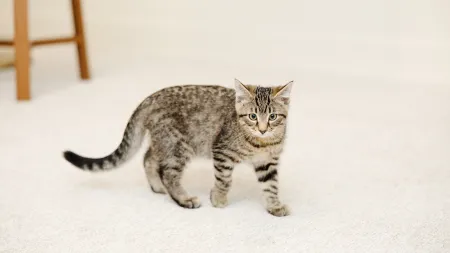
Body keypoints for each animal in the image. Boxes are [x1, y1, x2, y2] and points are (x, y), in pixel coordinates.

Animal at [64, 78, 296, 215]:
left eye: (273, 116)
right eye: (252, 116)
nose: (263, 129)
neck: (260, 144)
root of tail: (150, 98)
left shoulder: (268, 162)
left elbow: (271, 185)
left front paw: (274, 206)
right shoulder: (222, 151)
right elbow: (224, 180)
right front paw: (218, 198)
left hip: (165, 142)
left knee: (148, 158)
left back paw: (157, 186)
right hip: (177, 146)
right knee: (168, 173)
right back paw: (183, 198)